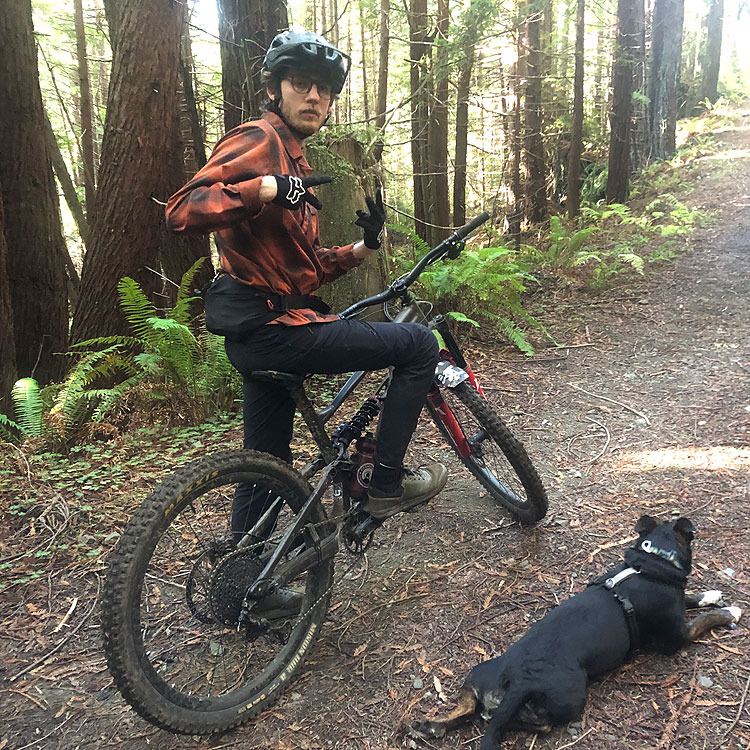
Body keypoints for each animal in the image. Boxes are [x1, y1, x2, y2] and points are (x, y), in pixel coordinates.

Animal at [410, 515, 742, 750]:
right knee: (535, 723)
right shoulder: (677, 636)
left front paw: (711, 594)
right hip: (571, 697)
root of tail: (518, 679)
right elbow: (705, 619)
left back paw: (428, 727)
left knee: (466, 709)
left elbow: (693, 598)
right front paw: (730, 611)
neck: (651, 563)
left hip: (477, 675)